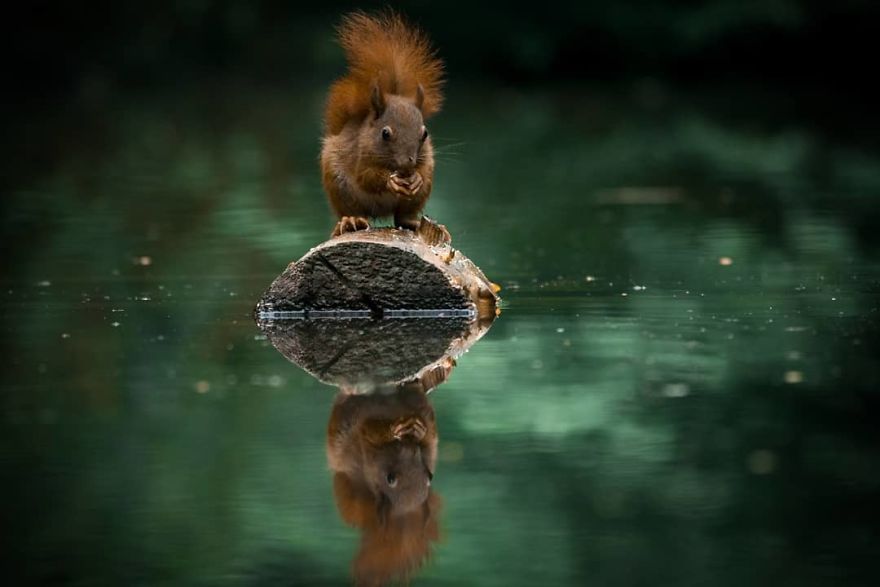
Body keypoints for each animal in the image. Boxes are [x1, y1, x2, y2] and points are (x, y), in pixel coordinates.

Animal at [320, 11, 450, 244]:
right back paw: (351, 220)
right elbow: (366, 176)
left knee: (402, 218)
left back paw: (418, 223)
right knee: (355, 211)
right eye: (385, 133)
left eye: (425, 133)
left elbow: (422, 170)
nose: (407, 165)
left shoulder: (426, 158)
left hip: (416, 199)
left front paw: (416, 177)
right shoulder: (359, 154)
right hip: (339, 187)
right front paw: (390, 181)